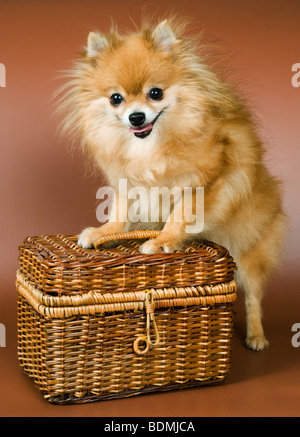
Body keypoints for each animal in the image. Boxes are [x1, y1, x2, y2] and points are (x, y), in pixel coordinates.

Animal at [58, 18, 286, 350]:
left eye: (155, 93)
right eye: (116, 98)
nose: (136, 117)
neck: (150, 145)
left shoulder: (201, 182)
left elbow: (180, 215)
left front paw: (163, 241)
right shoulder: (127, 183)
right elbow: (120, 213)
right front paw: (105, 233)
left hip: (249, 251)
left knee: (253, 296)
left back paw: (256, 336)